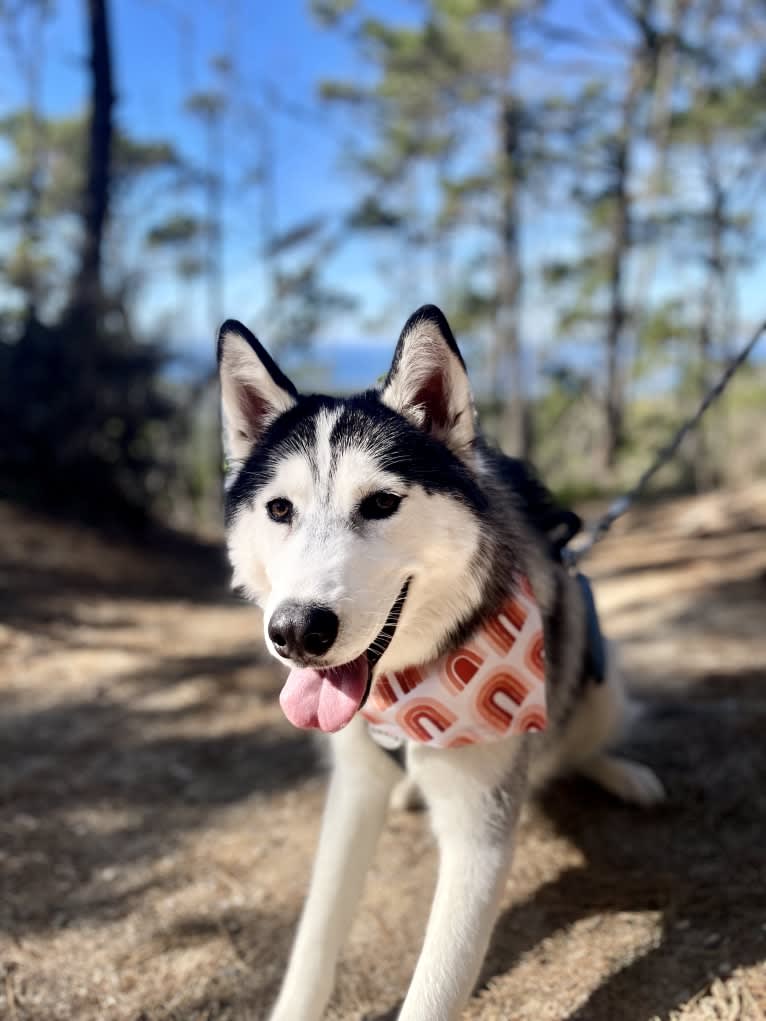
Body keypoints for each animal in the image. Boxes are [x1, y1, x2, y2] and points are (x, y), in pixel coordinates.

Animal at [217, 306, 665, 1021]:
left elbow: (432, 990)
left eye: (380, 503)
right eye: (279, 509)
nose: (296, 632)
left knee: (578, 741)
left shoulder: (478, 836)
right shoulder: (352, 791)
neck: (406, 690)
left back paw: (621, 773)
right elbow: (314, 941)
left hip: (603, 681)